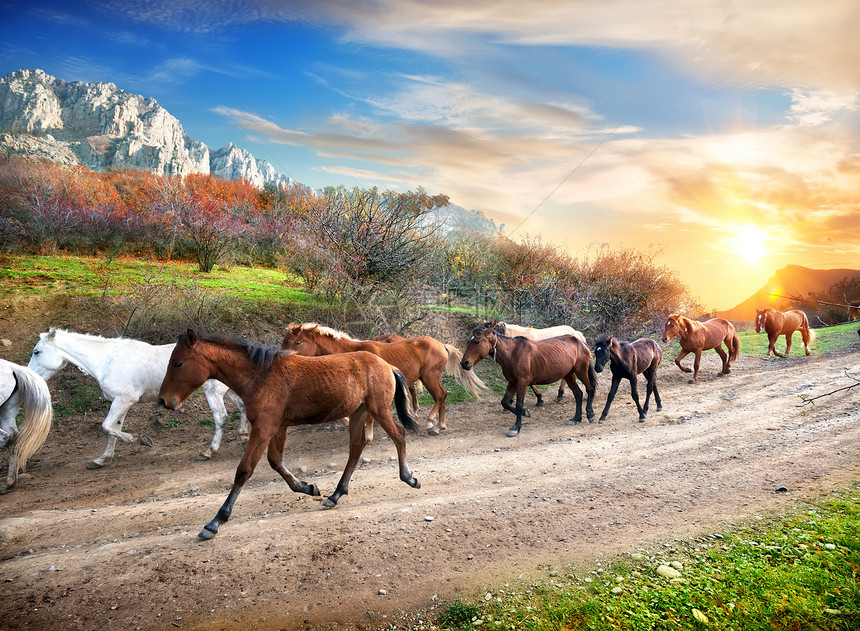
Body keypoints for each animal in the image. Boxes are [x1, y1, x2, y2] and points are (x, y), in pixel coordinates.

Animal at [27, 330, 249, 470]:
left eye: (37, 351)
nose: (30, 376)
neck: (108, 360)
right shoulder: (120, 402)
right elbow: (112, 430)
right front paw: (102, 459)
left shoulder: (125, 400)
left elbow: (107, 426)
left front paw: (140, 439)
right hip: (227, 391)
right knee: (243, 407)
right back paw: (244, 437)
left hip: (214, 392)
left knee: (221, 418)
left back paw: (209, 451)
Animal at [159, 328, 424, 540]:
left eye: (178, 363)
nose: (163, 401)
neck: (260, 376)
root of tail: (387, 365)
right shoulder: (277, 427)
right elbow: (276, 462)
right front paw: (308, 487)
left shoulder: (264, 428)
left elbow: (244, 471)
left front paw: (215, 522)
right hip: (359, 412)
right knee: (356, 448)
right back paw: (336, 494)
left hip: (378, 409)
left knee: (399, 435)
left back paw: (409, 478)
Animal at [280, 324, 484, 436]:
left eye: (297, 342)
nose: (282, 357)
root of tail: (441, 344)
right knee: (442, 396)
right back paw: (441, 424)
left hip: (429, 377)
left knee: (440, 396)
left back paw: (431, 423)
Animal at [460, 324, 596, 436]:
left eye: (477, 341)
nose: (464, 363)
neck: (513, 353)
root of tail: (580, 341)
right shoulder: (512, 382)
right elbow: (505, 402)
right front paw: (525, 412)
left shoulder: (522, 382)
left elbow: (519, 404)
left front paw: (516, 427)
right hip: (569, 375)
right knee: (578, 394)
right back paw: (576, 418)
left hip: (581, 372)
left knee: (589, 389)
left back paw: (590, 414)